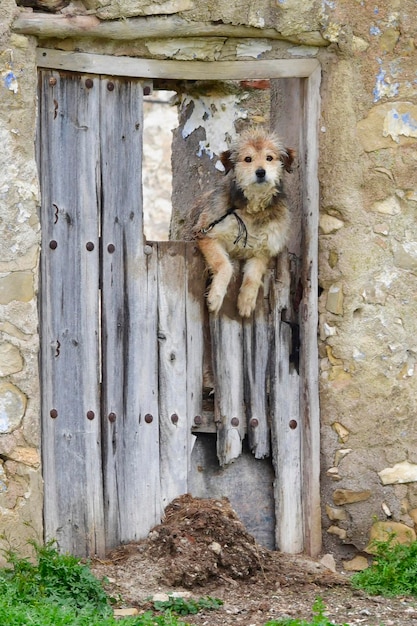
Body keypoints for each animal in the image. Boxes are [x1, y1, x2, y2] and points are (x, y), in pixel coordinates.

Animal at [184, 129, 294, 320]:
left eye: (269, 158)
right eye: (248, 159)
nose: (260, 172)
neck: (253, 209)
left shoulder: (262, 250)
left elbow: (253, 277)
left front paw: (246, 301)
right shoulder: (207, 234)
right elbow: (224, 265)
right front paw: (215, 297)